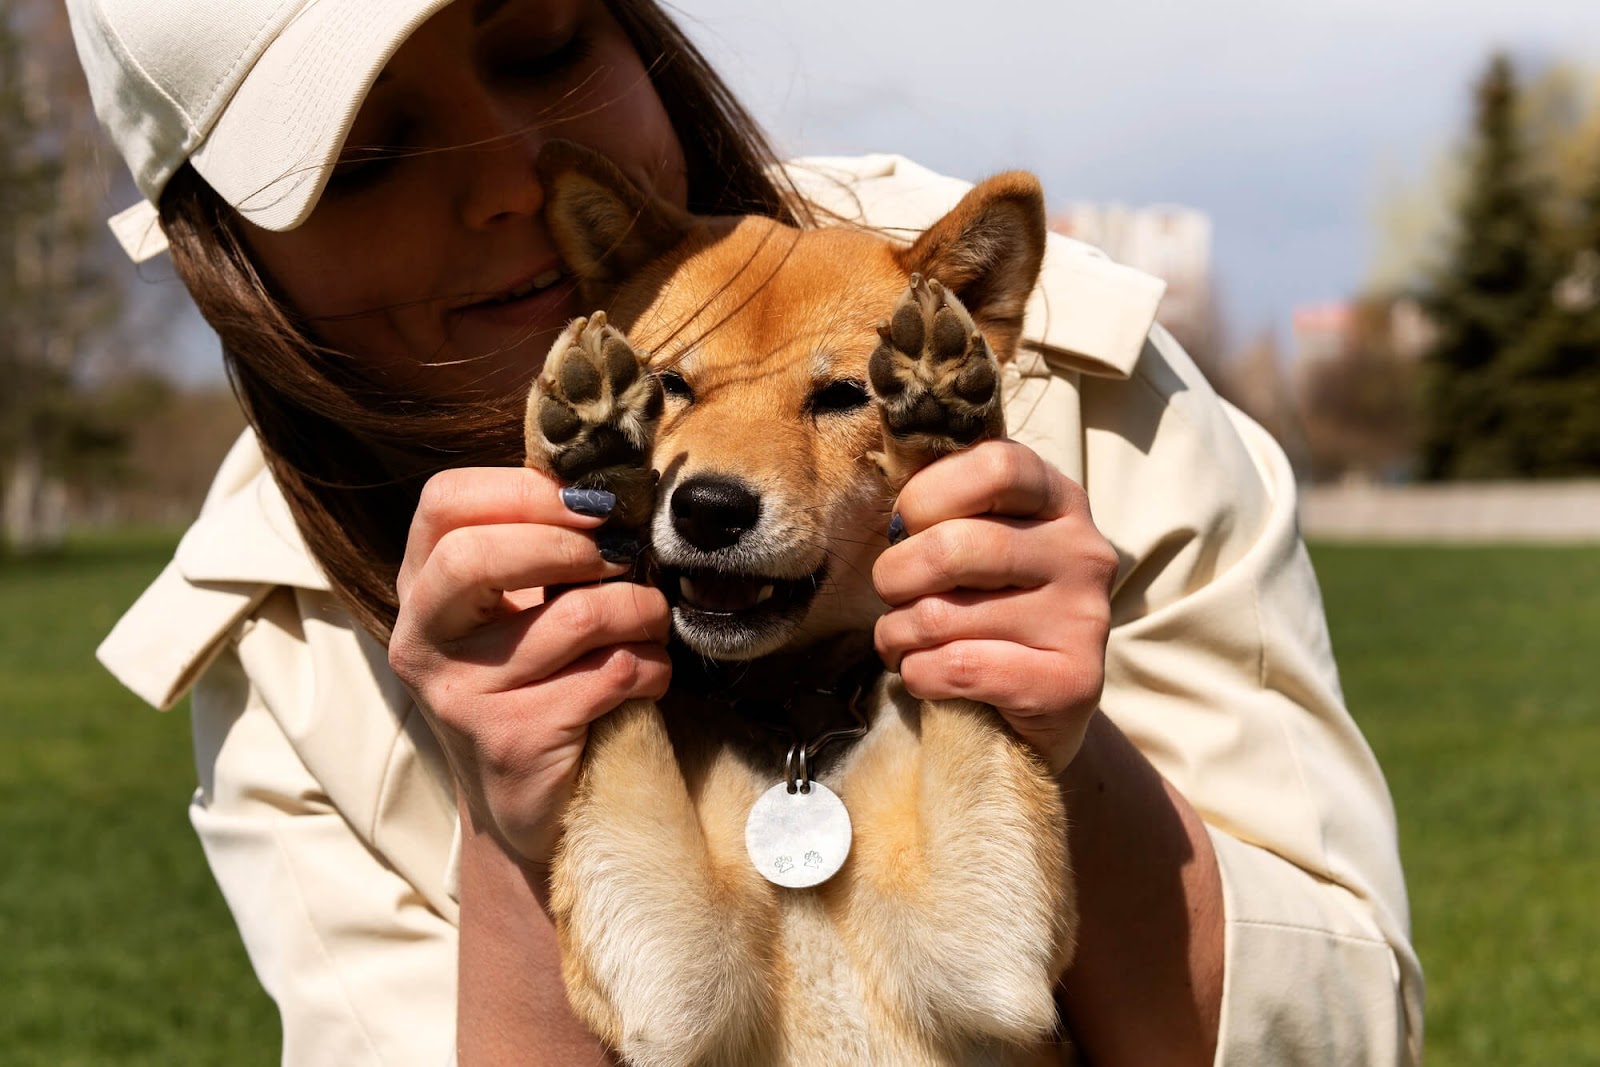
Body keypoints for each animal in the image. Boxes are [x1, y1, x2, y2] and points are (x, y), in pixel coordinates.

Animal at [524, 141, 1075, 1067]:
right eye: (669, 384)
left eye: (845, 395)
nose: (707, 508)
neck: (795, 727)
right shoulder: (671, 975)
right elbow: (620, 706)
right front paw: (596, 442)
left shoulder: (988, 953)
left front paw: (943, 416)